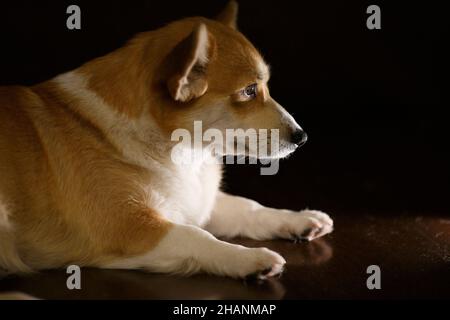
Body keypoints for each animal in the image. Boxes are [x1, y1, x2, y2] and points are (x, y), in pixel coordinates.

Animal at [0, 1, 330, 278]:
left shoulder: (194, 203)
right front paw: (251, 259)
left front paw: (300, 219)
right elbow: (197, 235)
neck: (184, 151)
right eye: (249, 91)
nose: (302, 137)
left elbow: (247, 206)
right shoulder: (131, 229)